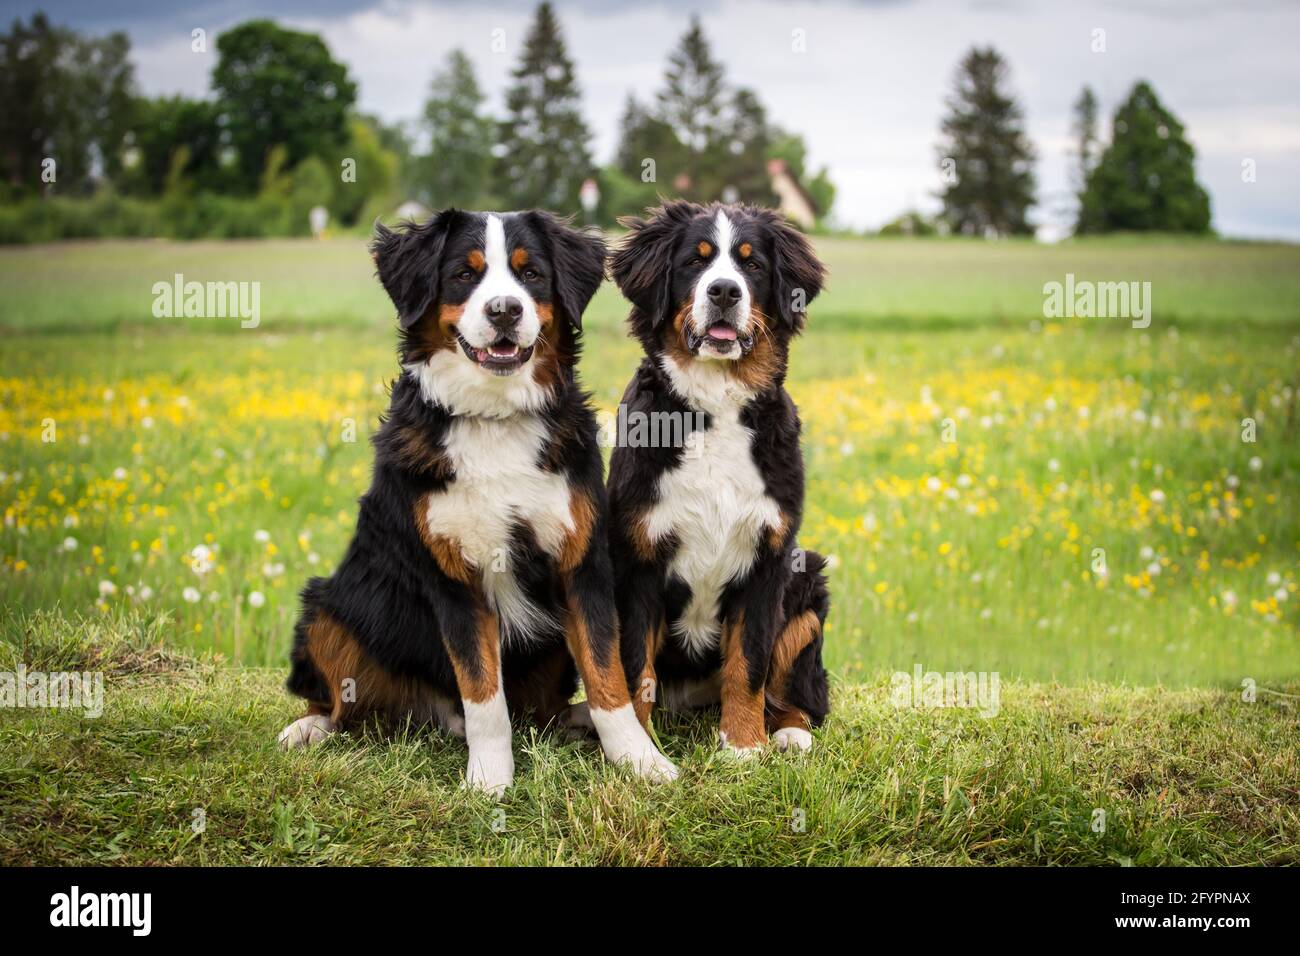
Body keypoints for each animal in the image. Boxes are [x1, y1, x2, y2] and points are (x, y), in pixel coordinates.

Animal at [278, 210, 676, 801]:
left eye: (530, 273)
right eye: (464, 275)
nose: (505, 309)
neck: (495, 418)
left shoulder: (581, 563)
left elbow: (608, 678)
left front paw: (639, 760)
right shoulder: (454, 575)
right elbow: (484, 693)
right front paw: (489, 780)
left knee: (544, 708)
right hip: (326, 607)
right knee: (341, 702)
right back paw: (309, 728)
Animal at [608, 200, 832, 754]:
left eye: (751, 265)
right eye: (696, 260)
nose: (725, 291)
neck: (715, 407)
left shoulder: (769, 556)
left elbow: (748, 664)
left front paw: (744, 746)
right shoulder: (637, 557)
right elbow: (635, 667)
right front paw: (641, 753)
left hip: (808, 579)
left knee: (798, 692)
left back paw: (790, 731)